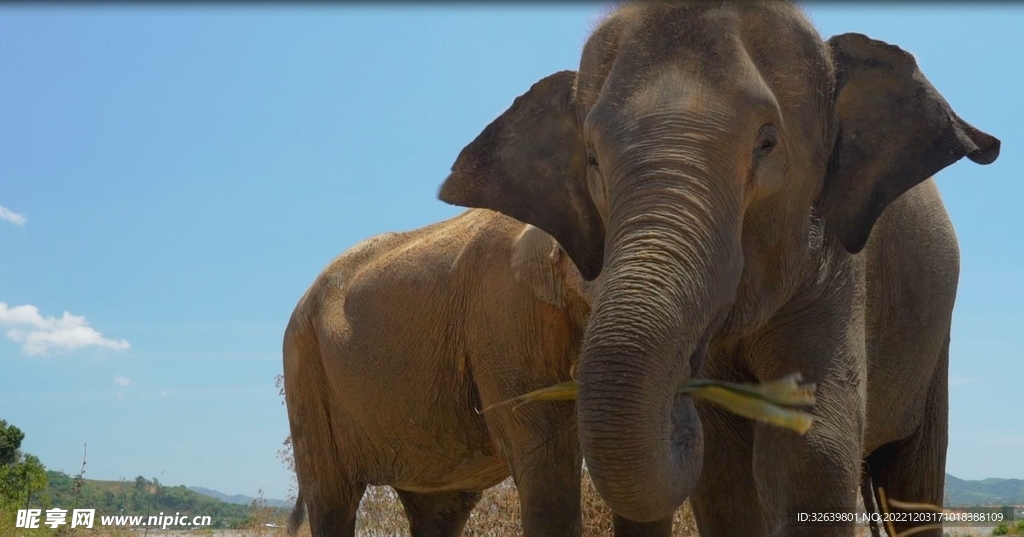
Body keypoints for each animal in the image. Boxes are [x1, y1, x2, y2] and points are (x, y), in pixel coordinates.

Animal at [437, 1, 1001, 536]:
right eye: (592, 158)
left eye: (767, 142)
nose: (681, 393)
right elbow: (723, 475)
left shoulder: (836, 261)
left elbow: (811, 447)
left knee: (911, 475)